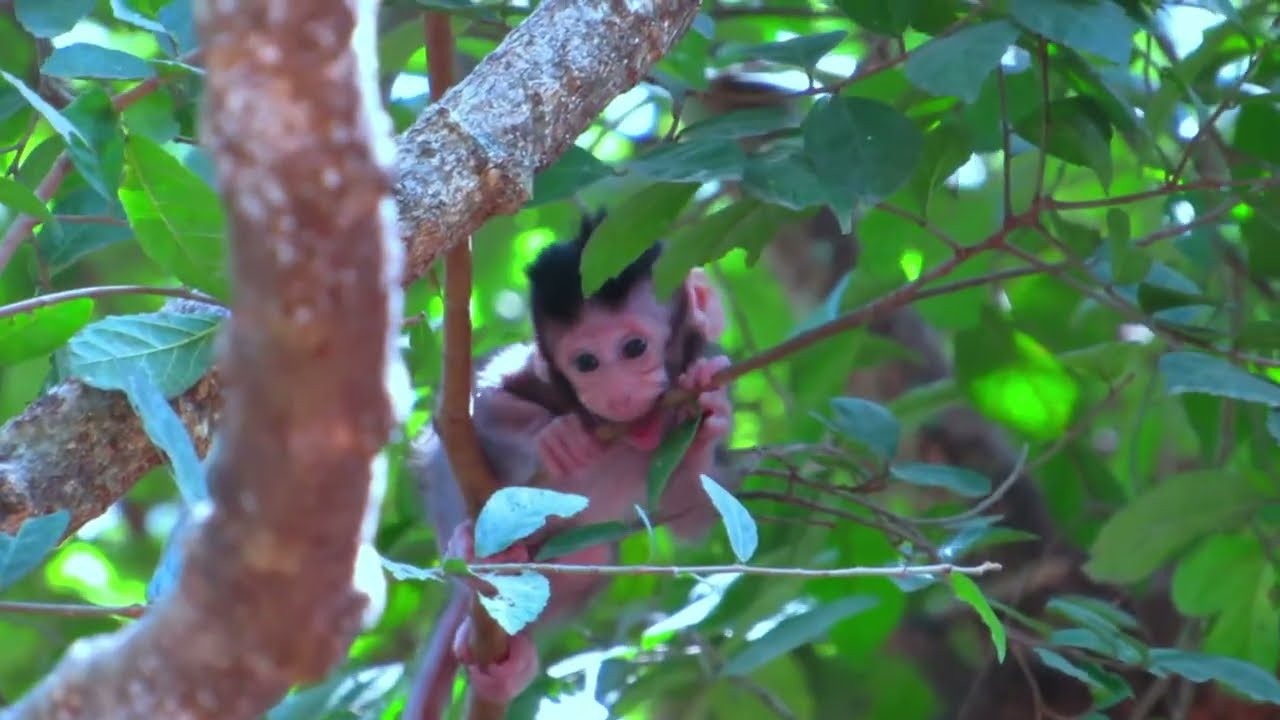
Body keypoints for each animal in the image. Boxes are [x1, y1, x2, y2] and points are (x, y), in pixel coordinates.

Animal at [402, 213, 736, 720]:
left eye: (634, 348)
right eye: (586, 362)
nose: (616, 392)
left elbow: (691, 514)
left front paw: (709, 415)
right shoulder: (531, 373)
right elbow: (465, 410)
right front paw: (555, 436)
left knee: (585, 558)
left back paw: (513, 663)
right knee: (449, 464)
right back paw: (470, 548)